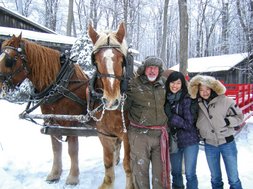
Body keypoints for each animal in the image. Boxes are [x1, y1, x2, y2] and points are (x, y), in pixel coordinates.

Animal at [0, 33, 89, 185]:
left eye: (10, 60)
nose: (0, 84)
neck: (60, 85)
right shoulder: (50, 120)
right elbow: (55, 148)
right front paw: (54, 174)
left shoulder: (71, 122)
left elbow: (72, 149)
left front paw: (73, 177)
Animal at [87, 21, 133, 188]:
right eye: (96, 61)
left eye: (122, 60)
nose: (112, 100)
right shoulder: (104, 135)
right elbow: (107, 164)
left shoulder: (128, 135)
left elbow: (129, 165)